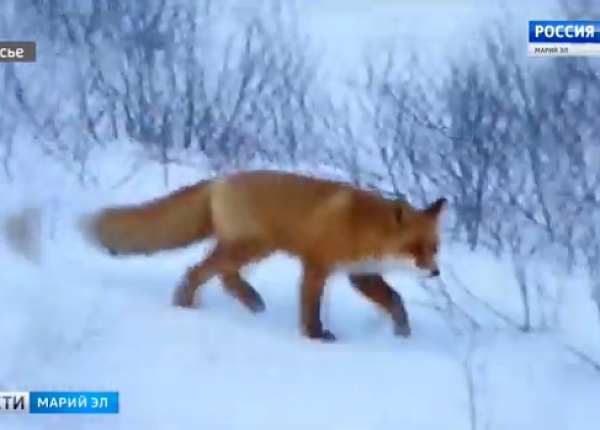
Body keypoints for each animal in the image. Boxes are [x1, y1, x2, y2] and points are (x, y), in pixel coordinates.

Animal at [2, 170, 446, 340]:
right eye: (416, 249)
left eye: (434, 248)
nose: (436, 273)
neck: (363, 226)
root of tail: (221, 178)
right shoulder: (317, 265)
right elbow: (311, 308)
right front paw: (315, 337)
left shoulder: (358, 273)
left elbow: (395, 299)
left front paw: (403, 331)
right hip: (252, 246)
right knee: (201, 269)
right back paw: (185, 305)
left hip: (247, 248)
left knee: (222, 275)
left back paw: (251, 302)